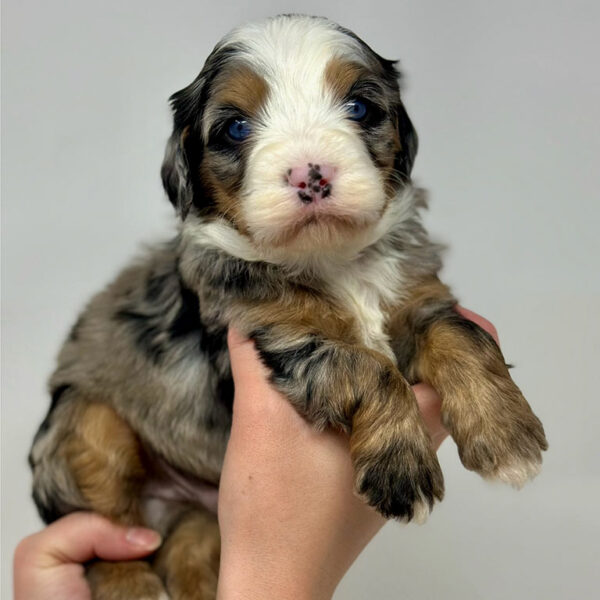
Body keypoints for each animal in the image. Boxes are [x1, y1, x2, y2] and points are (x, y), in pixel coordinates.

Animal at [29, 15, 548, 600]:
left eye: (359, 107)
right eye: (235, 127)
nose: (310, 174)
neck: (332, 262)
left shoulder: (416, 298)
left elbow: (460, 334)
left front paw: (507, 435)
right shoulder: (283, 335)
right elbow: (372, 369)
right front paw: (402, 470)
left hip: (198, 514)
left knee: (187, 551)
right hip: (86, 424)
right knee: (108, 533)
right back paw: (130, 586)